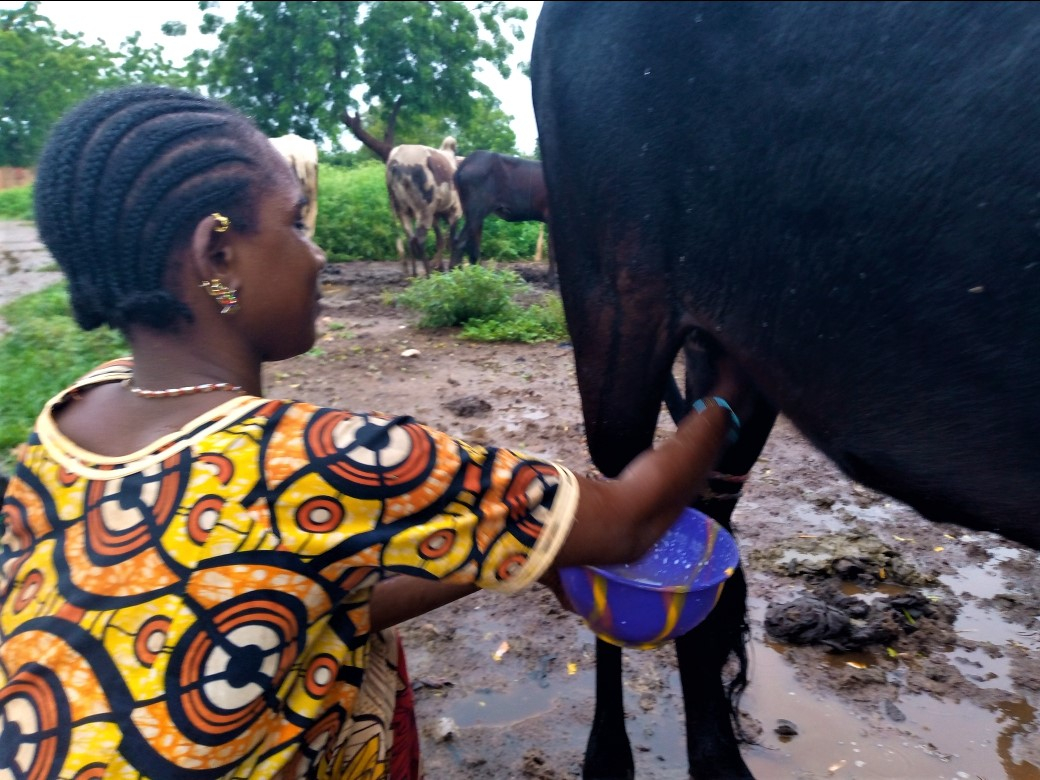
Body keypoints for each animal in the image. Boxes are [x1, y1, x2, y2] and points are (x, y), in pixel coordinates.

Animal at [384, 137, 461, 278]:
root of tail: (395, 162)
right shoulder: (455, 210)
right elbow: (451, 239)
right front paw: (449, 268)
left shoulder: (436, 214)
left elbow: (440, 239)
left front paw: (440, 267)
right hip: (424, 210)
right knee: (419, 241)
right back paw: (428, 274)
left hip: (400, 211)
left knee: (410, 240)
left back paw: (414, 274)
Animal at [451, 149, 557, 284]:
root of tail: (466, 162)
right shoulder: (552, 218)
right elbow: (552, 250)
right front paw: (551, 280)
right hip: (477, 210)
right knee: (460, 242)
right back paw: (455, 275)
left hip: (475, 213)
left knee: (473, 244)